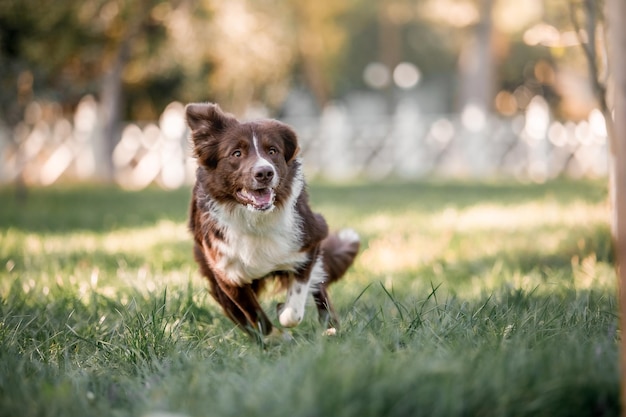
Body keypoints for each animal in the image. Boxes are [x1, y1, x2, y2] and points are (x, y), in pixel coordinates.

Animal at [183, 102, 358, 336]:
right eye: (236, 153)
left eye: (272, 151)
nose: (264, 172)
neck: (255, 218)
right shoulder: (227, 272)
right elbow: (255, 316)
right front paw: (275, 338)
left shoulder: (310, 240)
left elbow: (295, 305)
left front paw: (283, 311)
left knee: (319, 288)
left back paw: (330, 328)